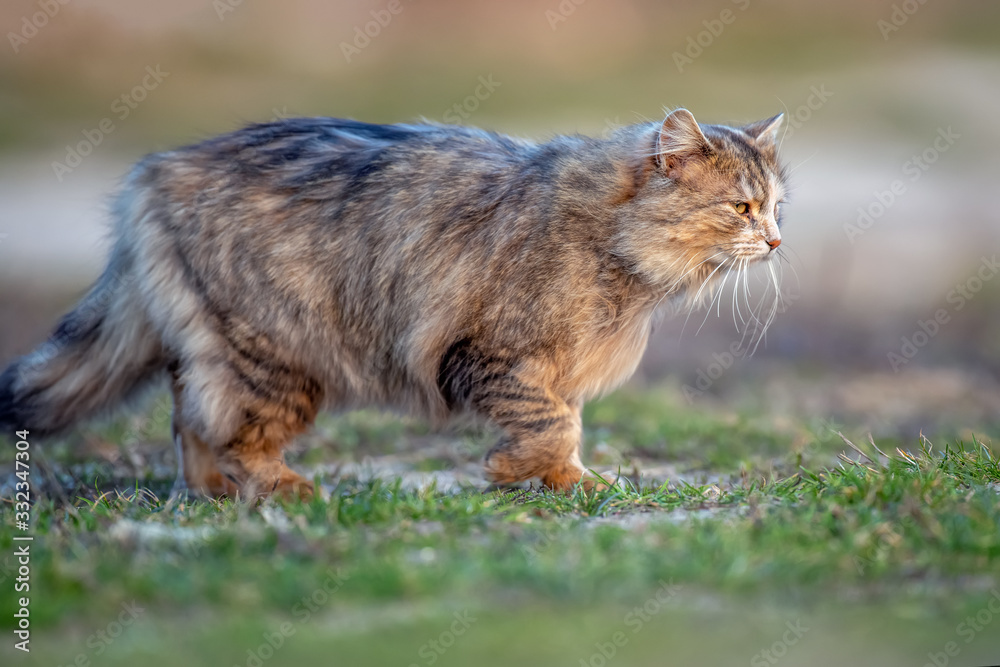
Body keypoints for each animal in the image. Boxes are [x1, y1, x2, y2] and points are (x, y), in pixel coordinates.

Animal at [0, 108, 788, 496]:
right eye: (742, 208)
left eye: (779, 207)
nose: (778, 241)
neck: (615, 252)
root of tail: (155, 173)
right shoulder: (497, 353)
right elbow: (551, 423)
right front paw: (525, 473)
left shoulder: (556, 368)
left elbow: (565, 426)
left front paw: (563, 480)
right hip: (278, 356)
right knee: (230, 430)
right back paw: (283, 487)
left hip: (221, 351)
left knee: (188, 415)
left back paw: (214, 492)